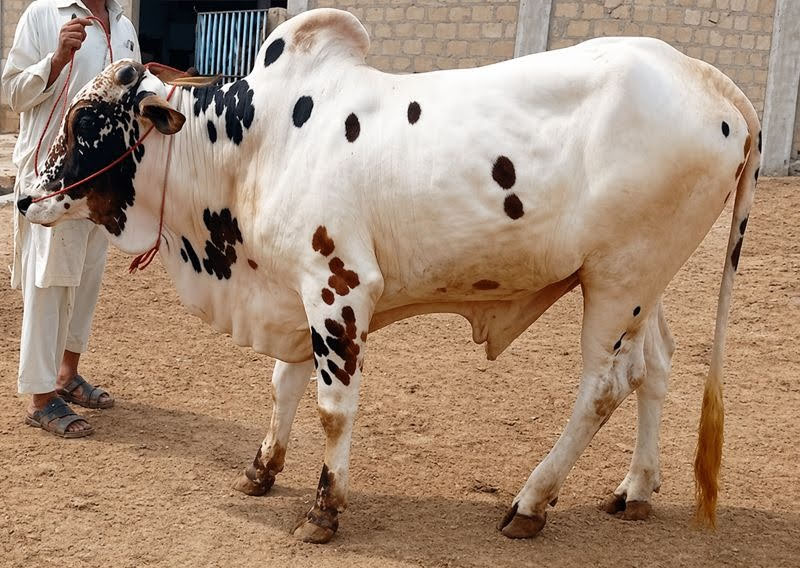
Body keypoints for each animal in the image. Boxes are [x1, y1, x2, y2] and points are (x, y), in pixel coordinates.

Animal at [17, 8, 759, 544]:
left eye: (87, 121)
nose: (25, 196)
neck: (252, 146)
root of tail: (708, 79)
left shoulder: (339, 287)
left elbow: (332, 408)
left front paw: (324, 509)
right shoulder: (295, 290)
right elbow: (284, 385)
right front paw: (262, 468)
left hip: (618, 283)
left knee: (601, 390)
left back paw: (530, 503)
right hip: (640, 283)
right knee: (652, 369)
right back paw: (635, 489)